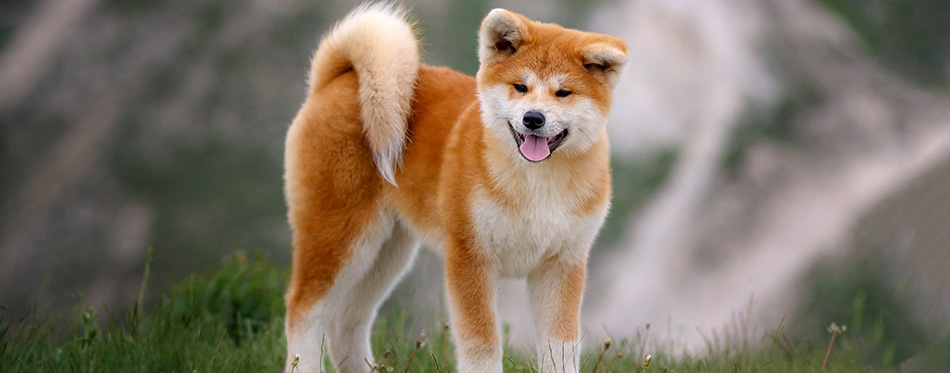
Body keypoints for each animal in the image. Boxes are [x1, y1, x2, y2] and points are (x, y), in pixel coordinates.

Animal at [286, 3, 628, 372]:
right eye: (520, 87)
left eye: (563, 92)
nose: (533, 118)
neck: (535, 185)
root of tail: (337, 80)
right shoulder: (470, 256)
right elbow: (482, 346)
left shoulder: (562, 265)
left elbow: (559, 349)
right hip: (339, 237)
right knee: (304, 310)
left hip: (386, 252)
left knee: (347, 321)